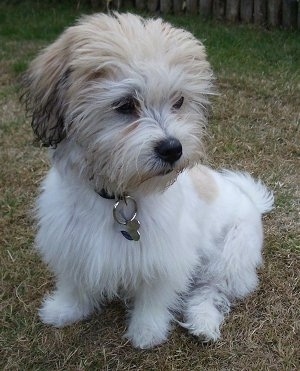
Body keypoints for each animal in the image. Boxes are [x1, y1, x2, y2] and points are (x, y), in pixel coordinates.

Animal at [22, 12, 274, 348]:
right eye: (125, 104)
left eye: (179, 101)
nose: (172, 148)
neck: (119, 196)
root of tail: (251, 200)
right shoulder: (72, 240)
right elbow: (75, 280)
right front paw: (66, 309)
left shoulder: (166, 255)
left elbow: (155, 294)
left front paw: (147, 330)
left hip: (230, 256)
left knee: (210, 290)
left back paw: (203, 321)